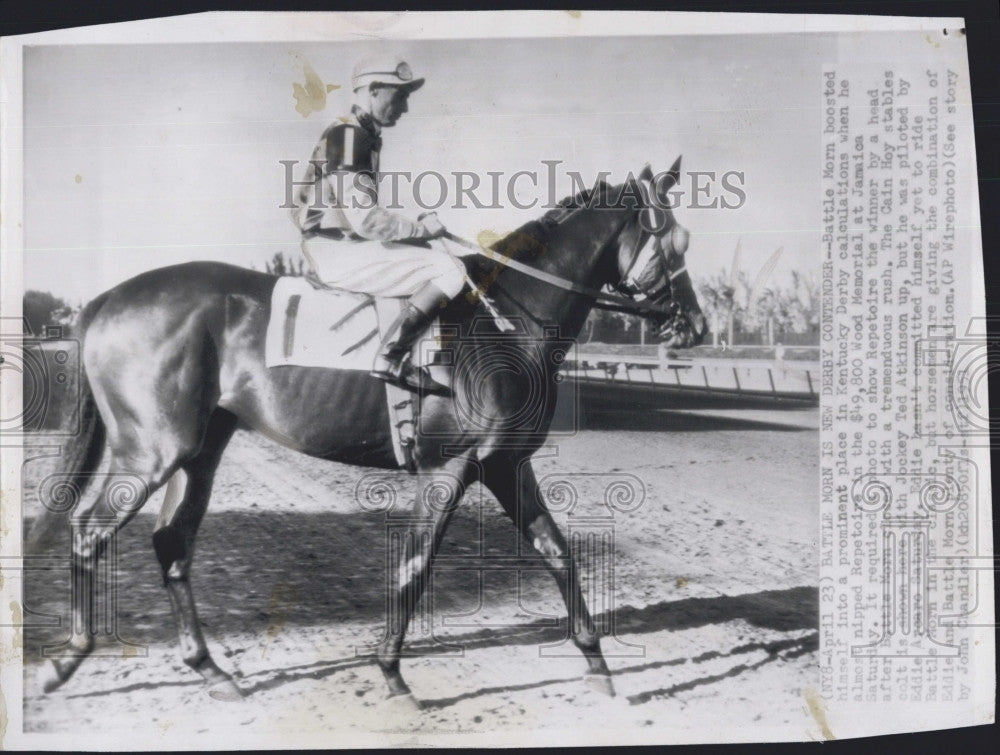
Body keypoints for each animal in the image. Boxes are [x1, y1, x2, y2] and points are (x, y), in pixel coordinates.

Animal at [29, 159, 704, 708]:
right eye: (673, 239)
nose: (694, 325)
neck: (506, 322)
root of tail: (106, 300)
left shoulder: (507, 465)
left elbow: (557, 553)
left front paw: (598, 663)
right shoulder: (450, 468)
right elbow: (416, 564)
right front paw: (391, 672)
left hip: (201, 450)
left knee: (172, 540)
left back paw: (209, 669)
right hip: (151, 451)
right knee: (88, 528)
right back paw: (66, 660)